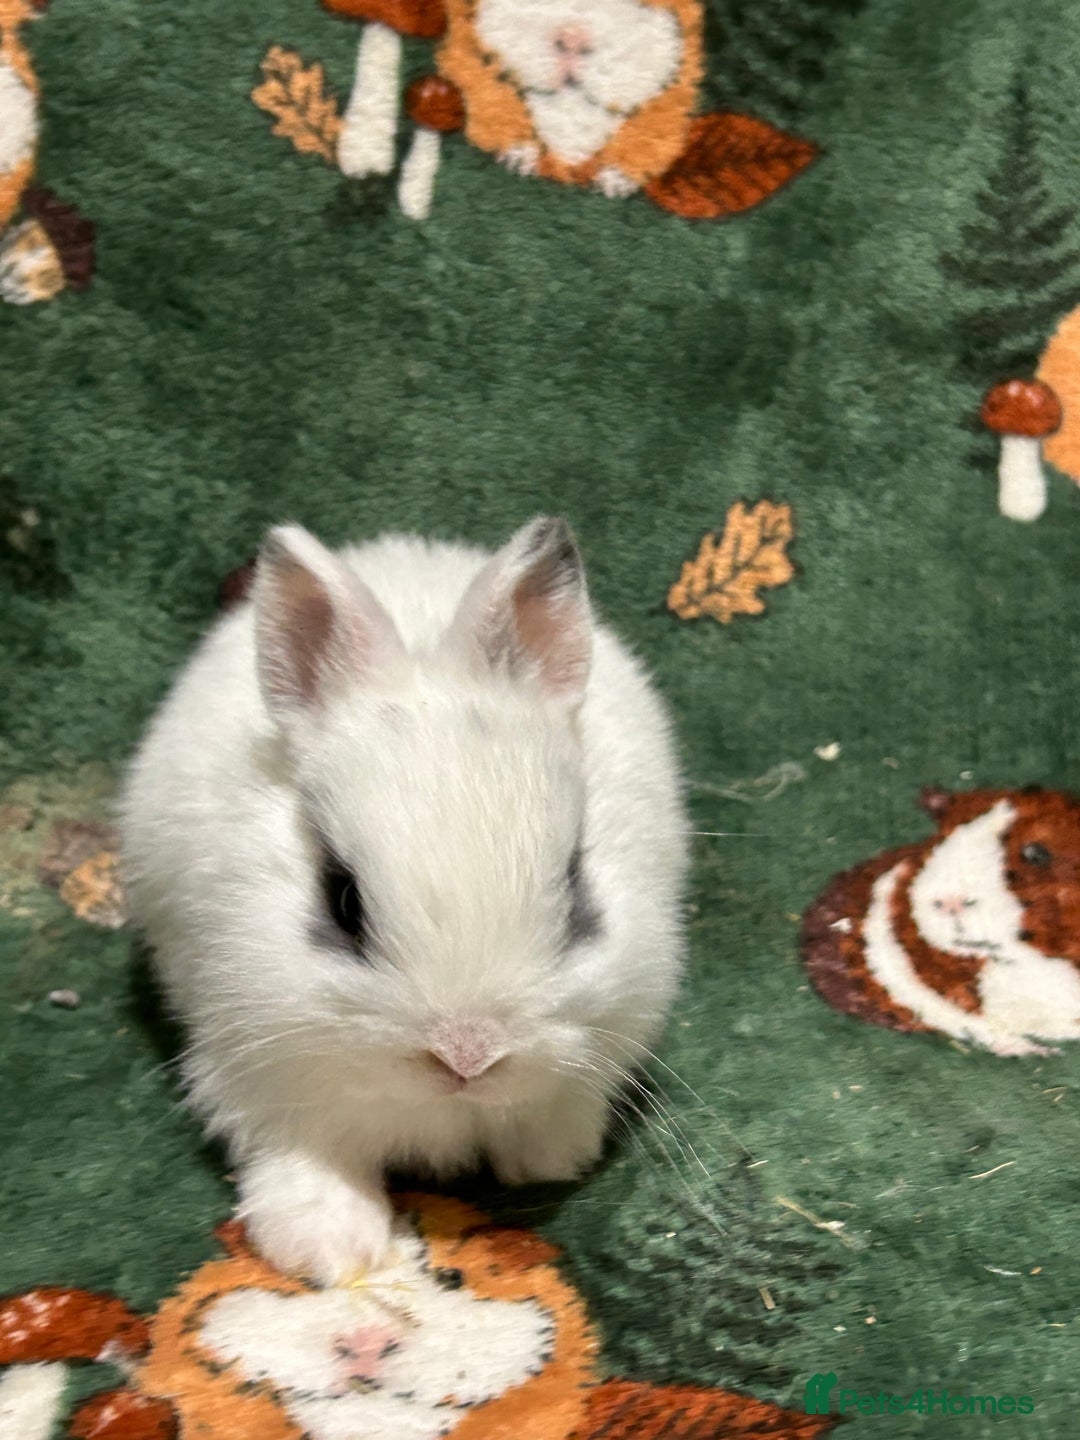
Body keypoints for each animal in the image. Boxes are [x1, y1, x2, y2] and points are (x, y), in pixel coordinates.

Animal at [120, 516, 687, 1285]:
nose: (467, 1056)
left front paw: (547, 1163)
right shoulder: (258, 1073)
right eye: (342, 901)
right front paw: (330, 1252)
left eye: (575, 886)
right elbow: (305, 1160)